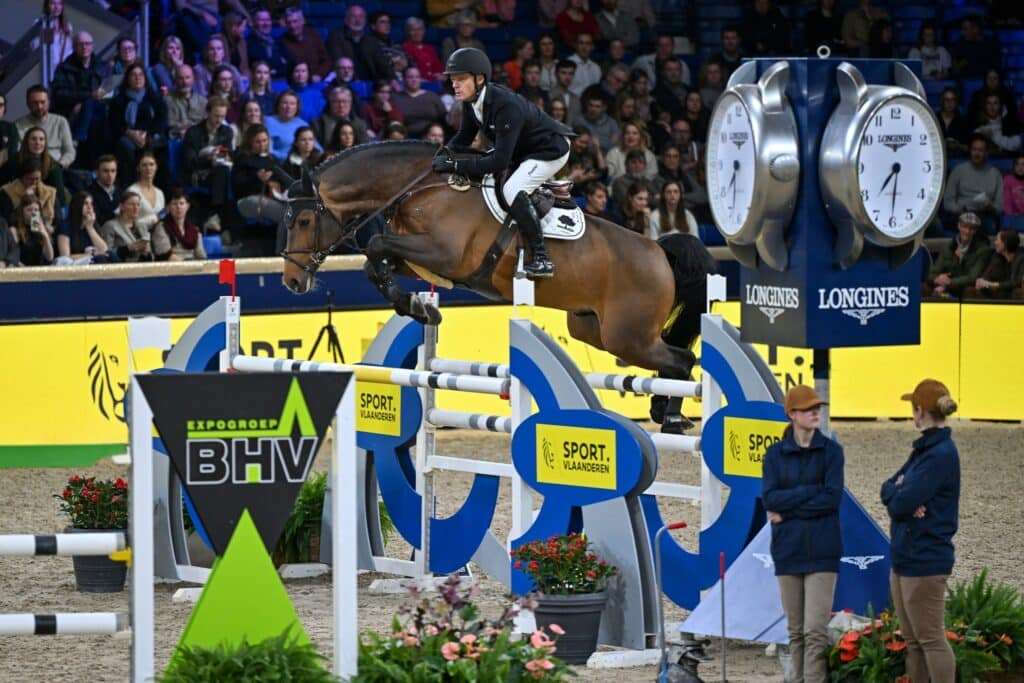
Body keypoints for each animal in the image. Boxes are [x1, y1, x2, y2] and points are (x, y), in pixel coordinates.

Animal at [279, 140, 708, 431]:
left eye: (303, 221)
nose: (292, 281)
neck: (420, 189)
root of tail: (659, 249)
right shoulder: (419, 258)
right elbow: (375, 260)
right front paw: (418, 307)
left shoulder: (444, 255)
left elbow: (375, 247)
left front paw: (418, 307)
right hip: (592, 329)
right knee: (670, 356)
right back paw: (663, 408)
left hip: (627, 336)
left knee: (683, 359)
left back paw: (671, 416)